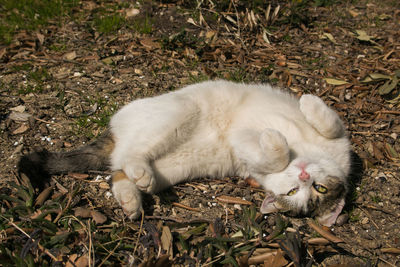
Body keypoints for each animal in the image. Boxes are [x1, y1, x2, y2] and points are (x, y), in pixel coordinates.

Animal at [18, 80, 350, 227]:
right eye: (295, 189)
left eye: (317, 190)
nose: (304, 175)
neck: (304, 151)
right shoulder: (337, 139)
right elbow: (331, 125)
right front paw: (306, 105)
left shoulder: (245, 154)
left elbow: (271, 155)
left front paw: (274, 140)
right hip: (181, 111)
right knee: (129, 153)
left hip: (173, 167)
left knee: (120, 167)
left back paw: (131, 199)